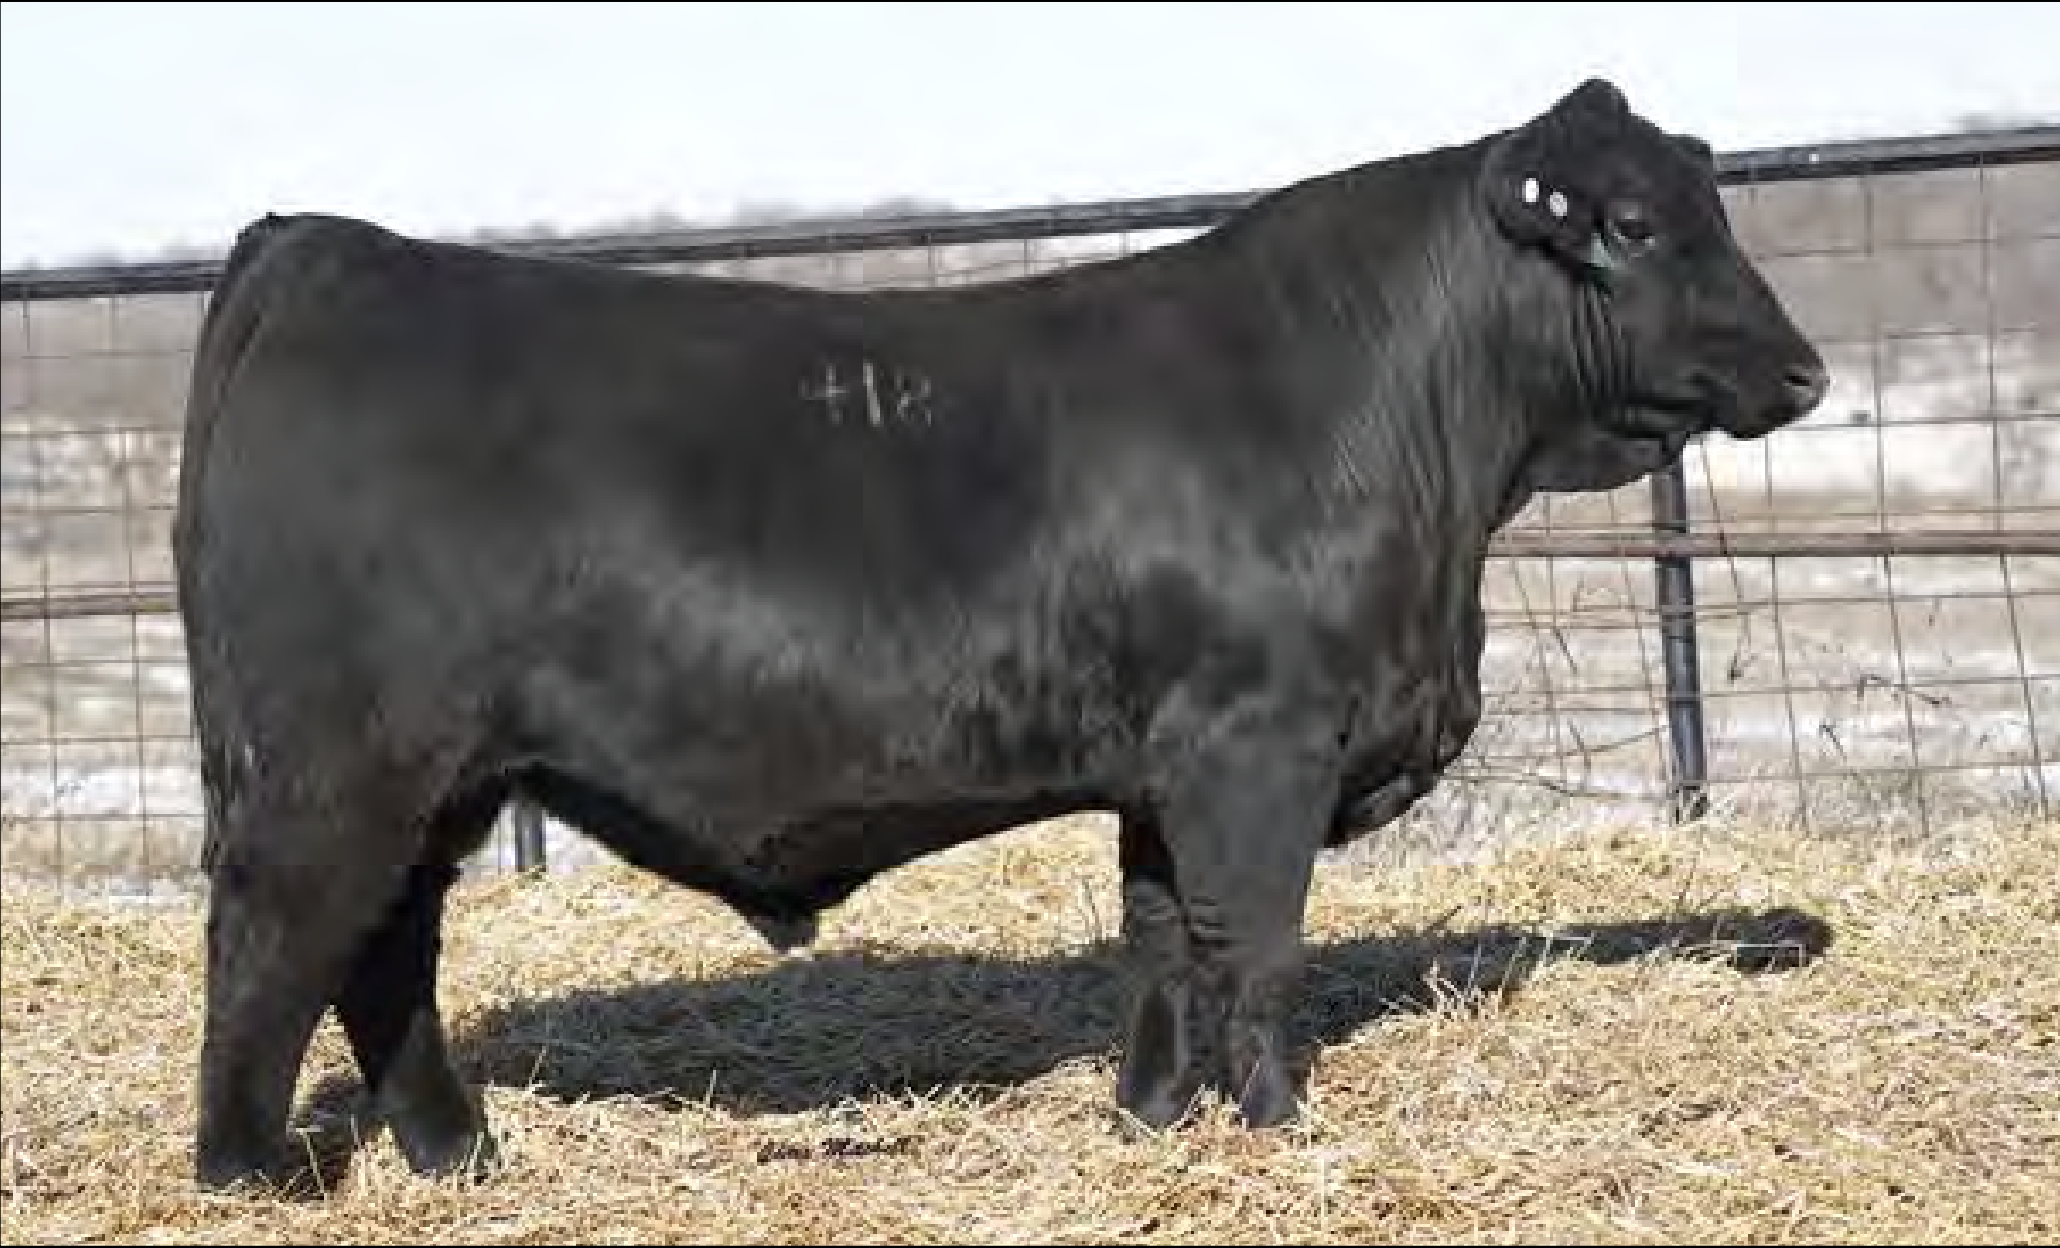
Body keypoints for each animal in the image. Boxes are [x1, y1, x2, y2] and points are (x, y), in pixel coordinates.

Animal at [173, 77, 1827, 1192]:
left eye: (1712, 208)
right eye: (1631, 225)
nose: (1805, 371)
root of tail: (327, 249)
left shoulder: (1165, 762)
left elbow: (1162, 946)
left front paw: (1153, 1122)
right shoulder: (1259, 741)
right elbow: (1259, 945)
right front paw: (1279, 1131)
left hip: (433, 777)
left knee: (385, 950)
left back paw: (459, 1155)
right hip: (335, 765)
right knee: (278, 938)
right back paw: (254, 1177)